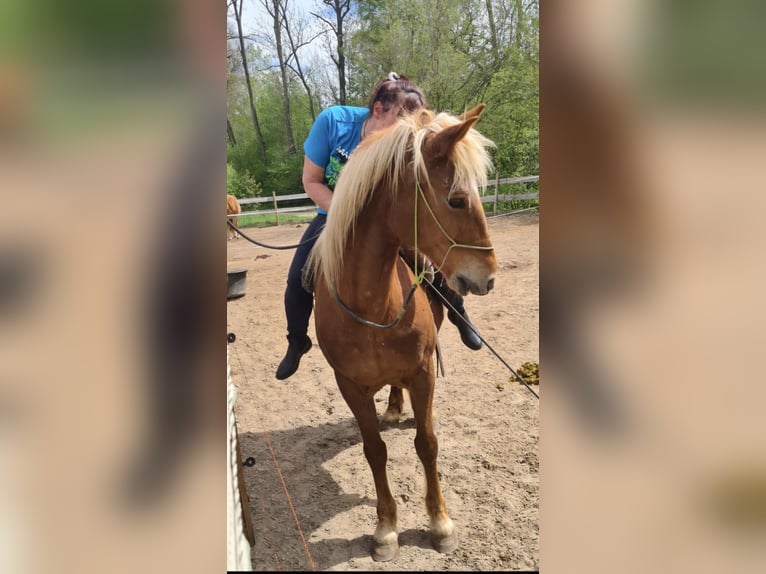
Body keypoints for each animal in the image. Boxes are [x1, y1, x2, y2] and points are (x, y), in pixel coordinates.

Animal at [306, 104, 498, 564]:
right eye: (456, 200)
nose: (489, 277)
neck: (372, 306)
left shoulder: (424, 371)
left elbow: (427, 443)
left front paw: (440, 523)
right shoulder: (349, 385)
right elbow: (374, 450)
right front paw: (386, 529)